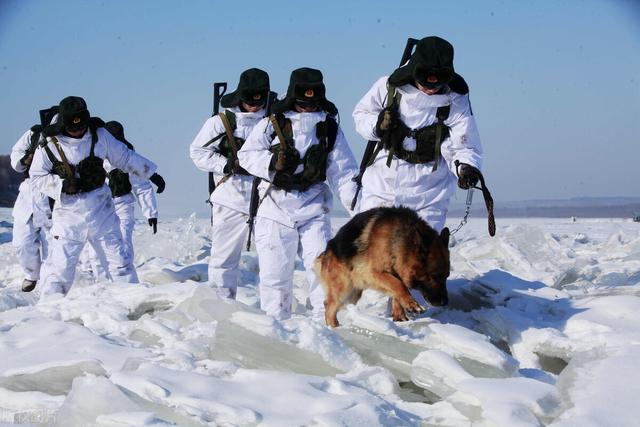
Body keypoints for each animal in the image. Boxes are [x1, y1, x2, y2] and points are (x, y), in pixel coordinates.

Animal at [316, 207, 450, 328]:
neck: (397, 242)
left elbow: (398, 289)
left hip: (353, 294)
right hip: (343, 290)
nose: (445, 303)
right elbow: (398, 285)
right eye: (435, 276)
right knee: (329, 307)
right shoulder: (373, 273)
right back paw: (334, 328)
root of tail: (326, 251)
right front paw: (412, 304)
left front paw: (400, 315)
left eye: (446, 276)